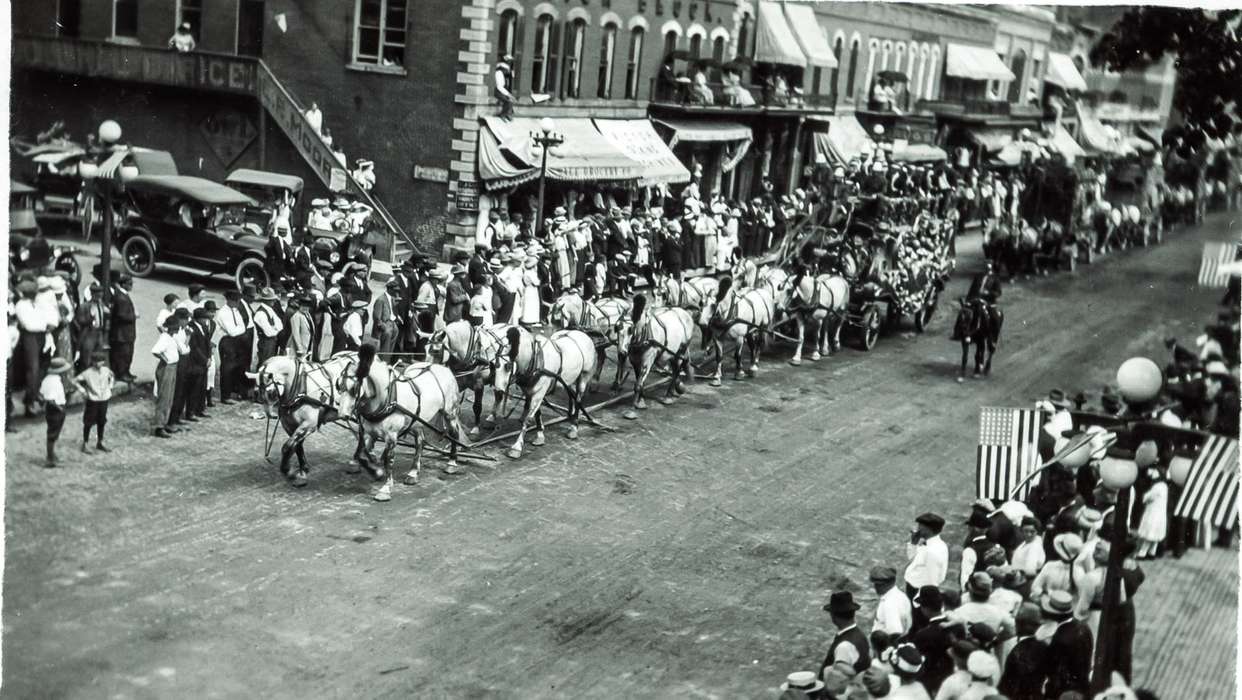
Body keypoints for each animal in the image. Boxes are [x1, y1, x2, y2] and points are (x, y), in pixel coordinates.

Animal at [252, 354, 357, 486]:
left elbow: (287, 446)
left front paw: (287, 470)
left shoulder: (309, 424)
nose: (270, 415)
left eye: (271, 392)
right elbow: (296, 446)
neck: (300, 386)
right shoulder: (289, 425)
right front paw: (303, 469)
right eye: (256, 392)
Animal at [337, 342, 466, 496]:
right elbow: (361, 453)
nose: (342, 415)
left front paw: (386, 488)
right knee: (420, 441)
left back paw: (451, 463)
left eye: (354, 388)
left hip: (449, 413)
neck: (387, 398)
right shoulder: (369, 432)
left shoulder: (391, 436)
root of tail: (443, 368)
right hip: (416, 421)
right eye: (339, 385)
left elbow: (389, 460)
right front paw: (376, 470)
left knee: (454, 434)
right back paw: (413, 473)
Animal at [489, 327, 596, 459]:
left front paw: (516, 447)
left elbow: (528, 418)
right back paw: (569, 416)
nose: (498, 392)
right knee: (571, 395)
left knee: (578, 399)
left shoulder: (539, 393)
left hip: (583, 377)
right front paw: (540, 436)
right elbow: (537, 415)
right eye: (493, 365)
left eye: (508, 366)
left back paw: (573, 428)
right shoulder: (531, 392)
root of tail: (582, 334)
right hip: (568, 379)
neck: (535, 359)